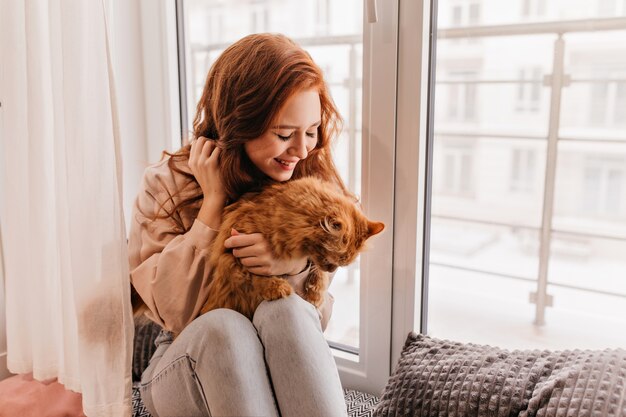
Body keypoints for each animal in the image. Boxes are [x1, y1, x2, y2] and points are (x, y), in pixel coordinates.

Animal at [202, 176, 382, 318]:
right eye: (332, 260)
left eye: (341, 264)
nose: (332, 270)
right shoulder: (232, 252)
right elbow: (255, 276)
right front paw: (276, 287)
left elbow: (318, 273)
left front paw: (315, 294)